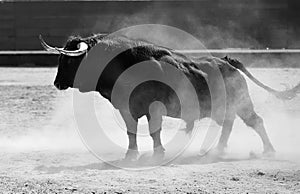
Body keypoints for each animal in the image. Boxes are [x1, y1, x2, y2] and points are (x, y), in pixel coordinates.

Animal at [40, 33, 300, 161]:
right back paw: (219, 150)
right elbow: (131, 131)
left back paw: (268, 151)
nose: (57, 83)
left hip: (242, 103)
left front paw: (158, 152)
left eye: (69, 60)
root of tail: (227, 61)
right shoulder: (126, 109)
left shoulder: (153, 108)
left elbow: (154, 130)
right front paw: (131, 154)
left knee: (255, 122)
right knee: (228, 124)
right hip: (225, 107)